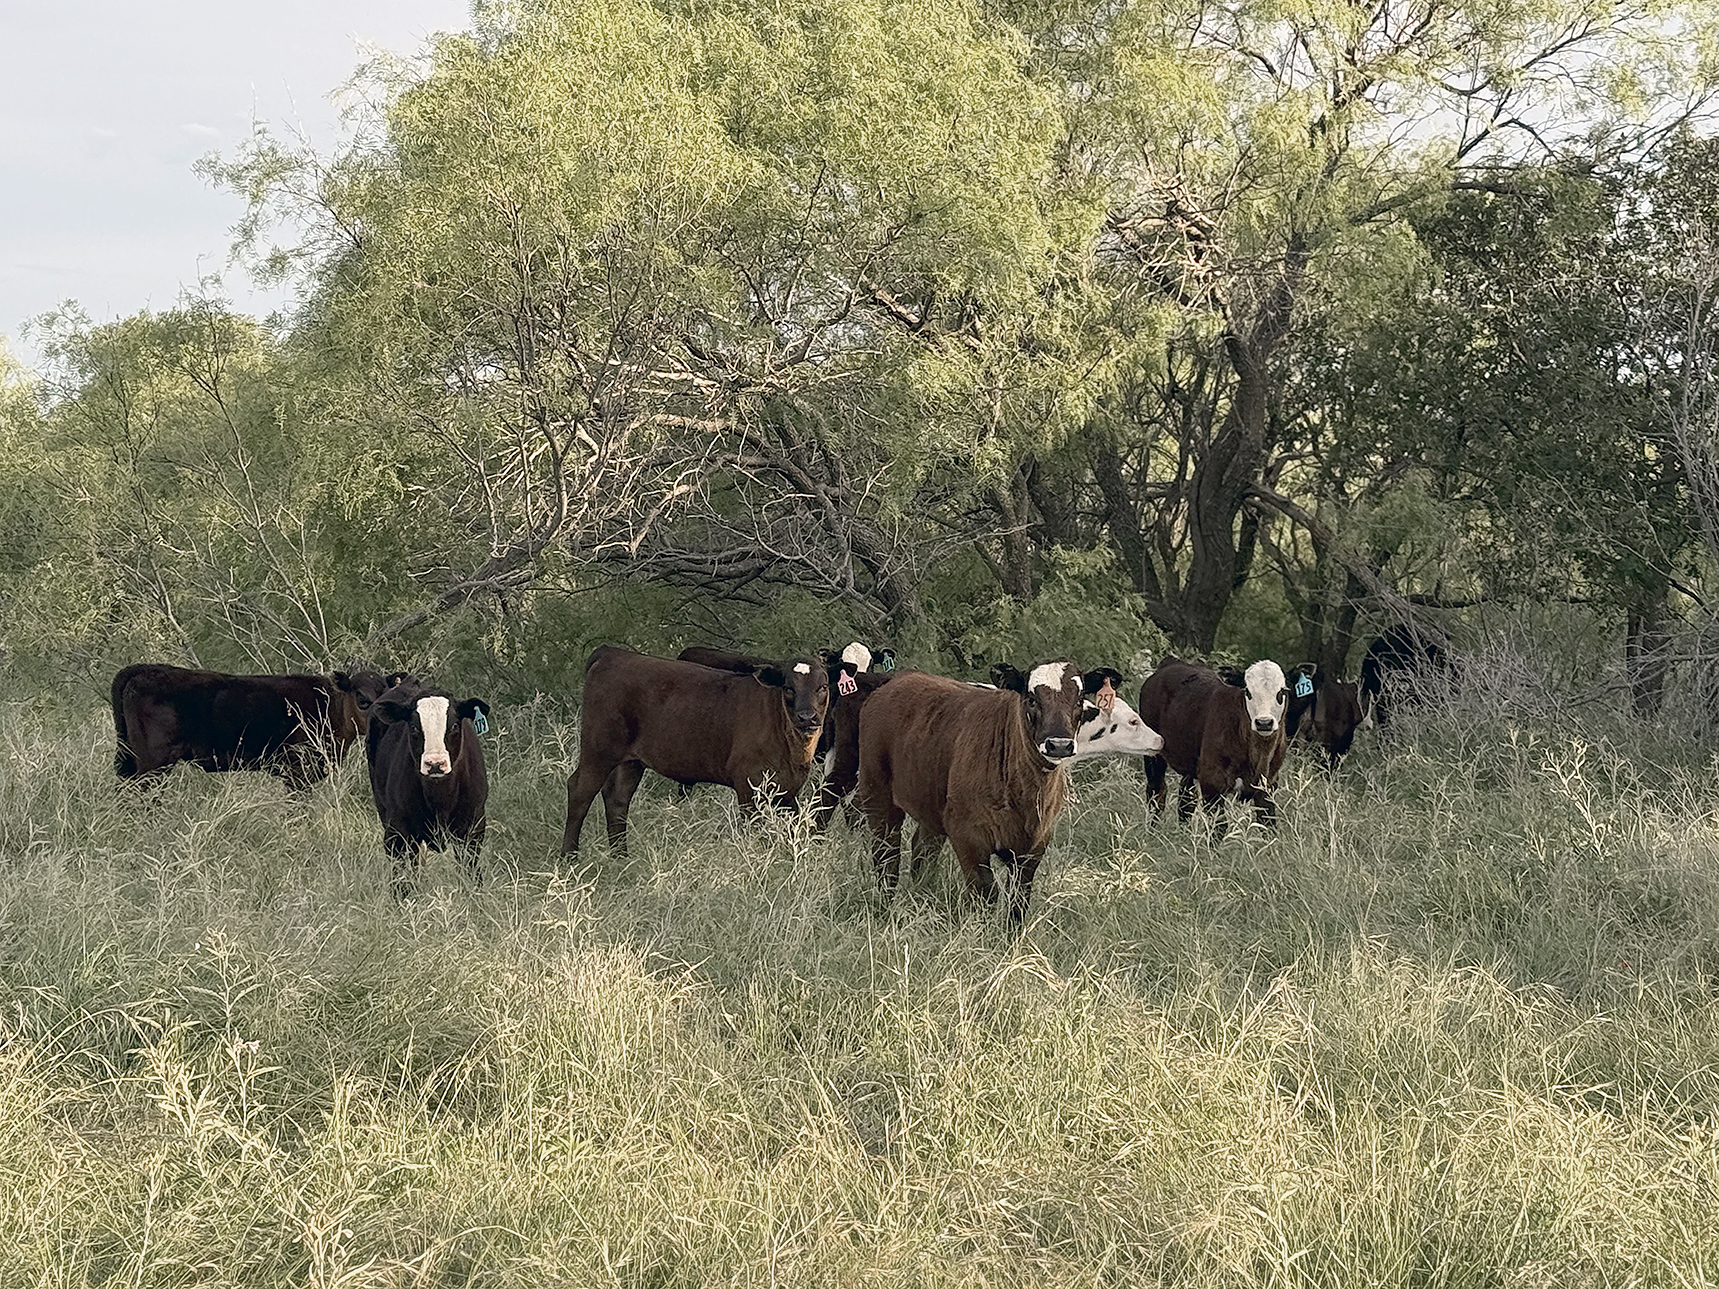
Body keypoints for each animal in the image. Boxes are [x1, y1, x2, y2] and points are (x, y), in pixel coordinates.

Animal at [366, 685, 490, 896]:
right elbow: (401, 878)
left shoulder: (473, 826)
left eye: (454, 726)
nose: (435, 764)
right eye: (414, 727)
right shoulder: (397, 831)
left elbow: (471, 870)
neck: (440, 799)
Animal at [562, 646, 830, 858]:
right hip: (598, 750)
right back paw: (569, 857)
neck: (792, 749)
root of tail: (612, 653)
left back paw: (621, 857)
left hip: (630, 761)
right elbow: (755, 831)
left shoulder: (789, 792)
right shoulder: (748, 787)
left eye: (823, 687)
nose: (807, 717)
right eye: (788, 688)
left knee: (617, 799)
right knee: (580, 791)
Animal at [855, 661, 1121, 926]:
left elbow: (1018, 901)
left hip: (932, 806)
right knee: (886, 856)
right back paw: (885, 908)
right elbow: (986, 892)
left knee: (923, 850)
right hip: (877, 794)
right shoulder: (968, 837)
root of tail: (898, 679)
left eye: (1079, 700)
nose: (1059, 745)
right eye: (1031, 699)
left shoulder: (1034, 846)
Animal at [1137, 657, 1289, 832]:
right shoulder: (1212, 782)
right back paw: (1153, 830)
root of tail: (1171, 663)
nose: (1264, 723)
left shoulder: (1268, 785)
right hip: (1153, 754)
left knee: (1186, 799)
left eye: (1281, 692)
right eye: (1248, 692)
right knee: (1157, 792)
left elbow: (1268, 825)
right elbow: (1219, 826)